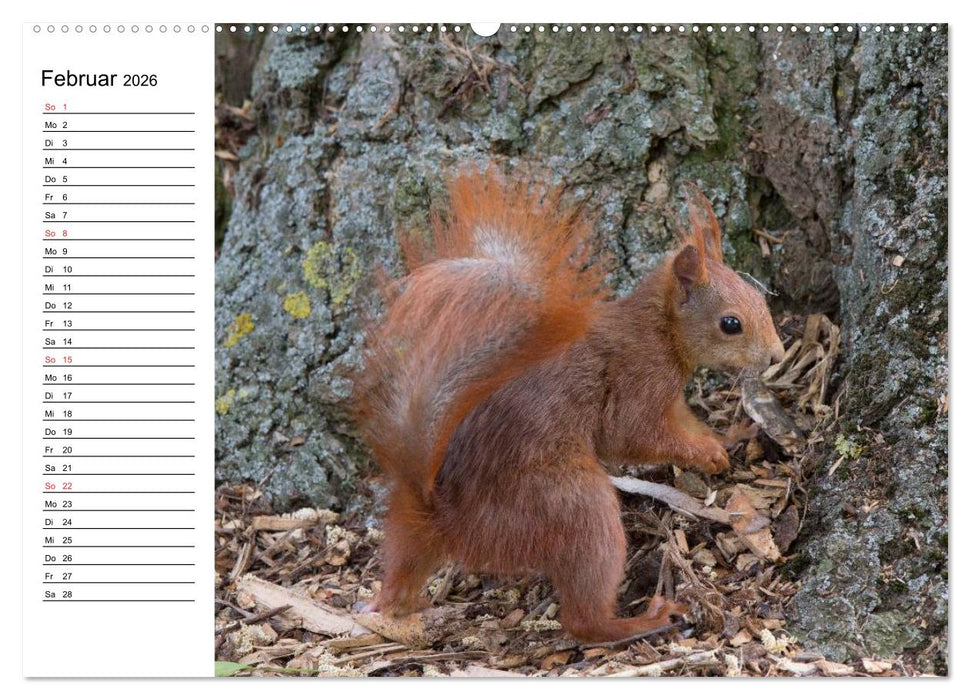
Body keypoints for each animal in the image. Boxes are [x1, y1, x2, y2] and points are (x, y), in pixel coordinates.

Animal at [355, 171, 786, 643]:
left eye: (761, 300)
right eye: (731, 324)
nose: (777, 356)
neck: (659, 329)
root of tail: (445, 514)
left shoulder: (669, 398)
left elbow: (687, 424)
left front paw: (728, 436)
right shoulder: (636, 381)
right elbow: (634, 437)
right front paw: (709, 454)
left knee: (400, 571)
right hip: (571, 505)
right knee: (582, 619)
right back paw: (644, 620)